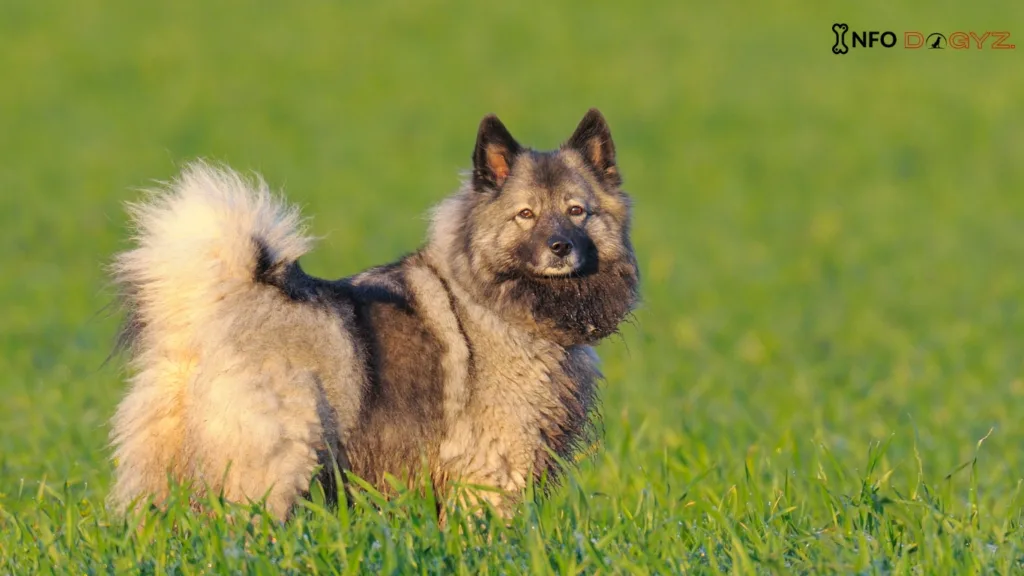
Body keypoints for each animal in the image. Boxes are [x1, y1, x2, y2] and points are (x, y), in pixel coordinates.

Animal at [110, 107, 638, 520]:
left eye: (577, 211)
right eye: (525, 215)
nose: (560, 247)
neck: (493, 300)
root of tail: (216, 306)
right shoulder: (494, 467)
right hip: (274, 464)